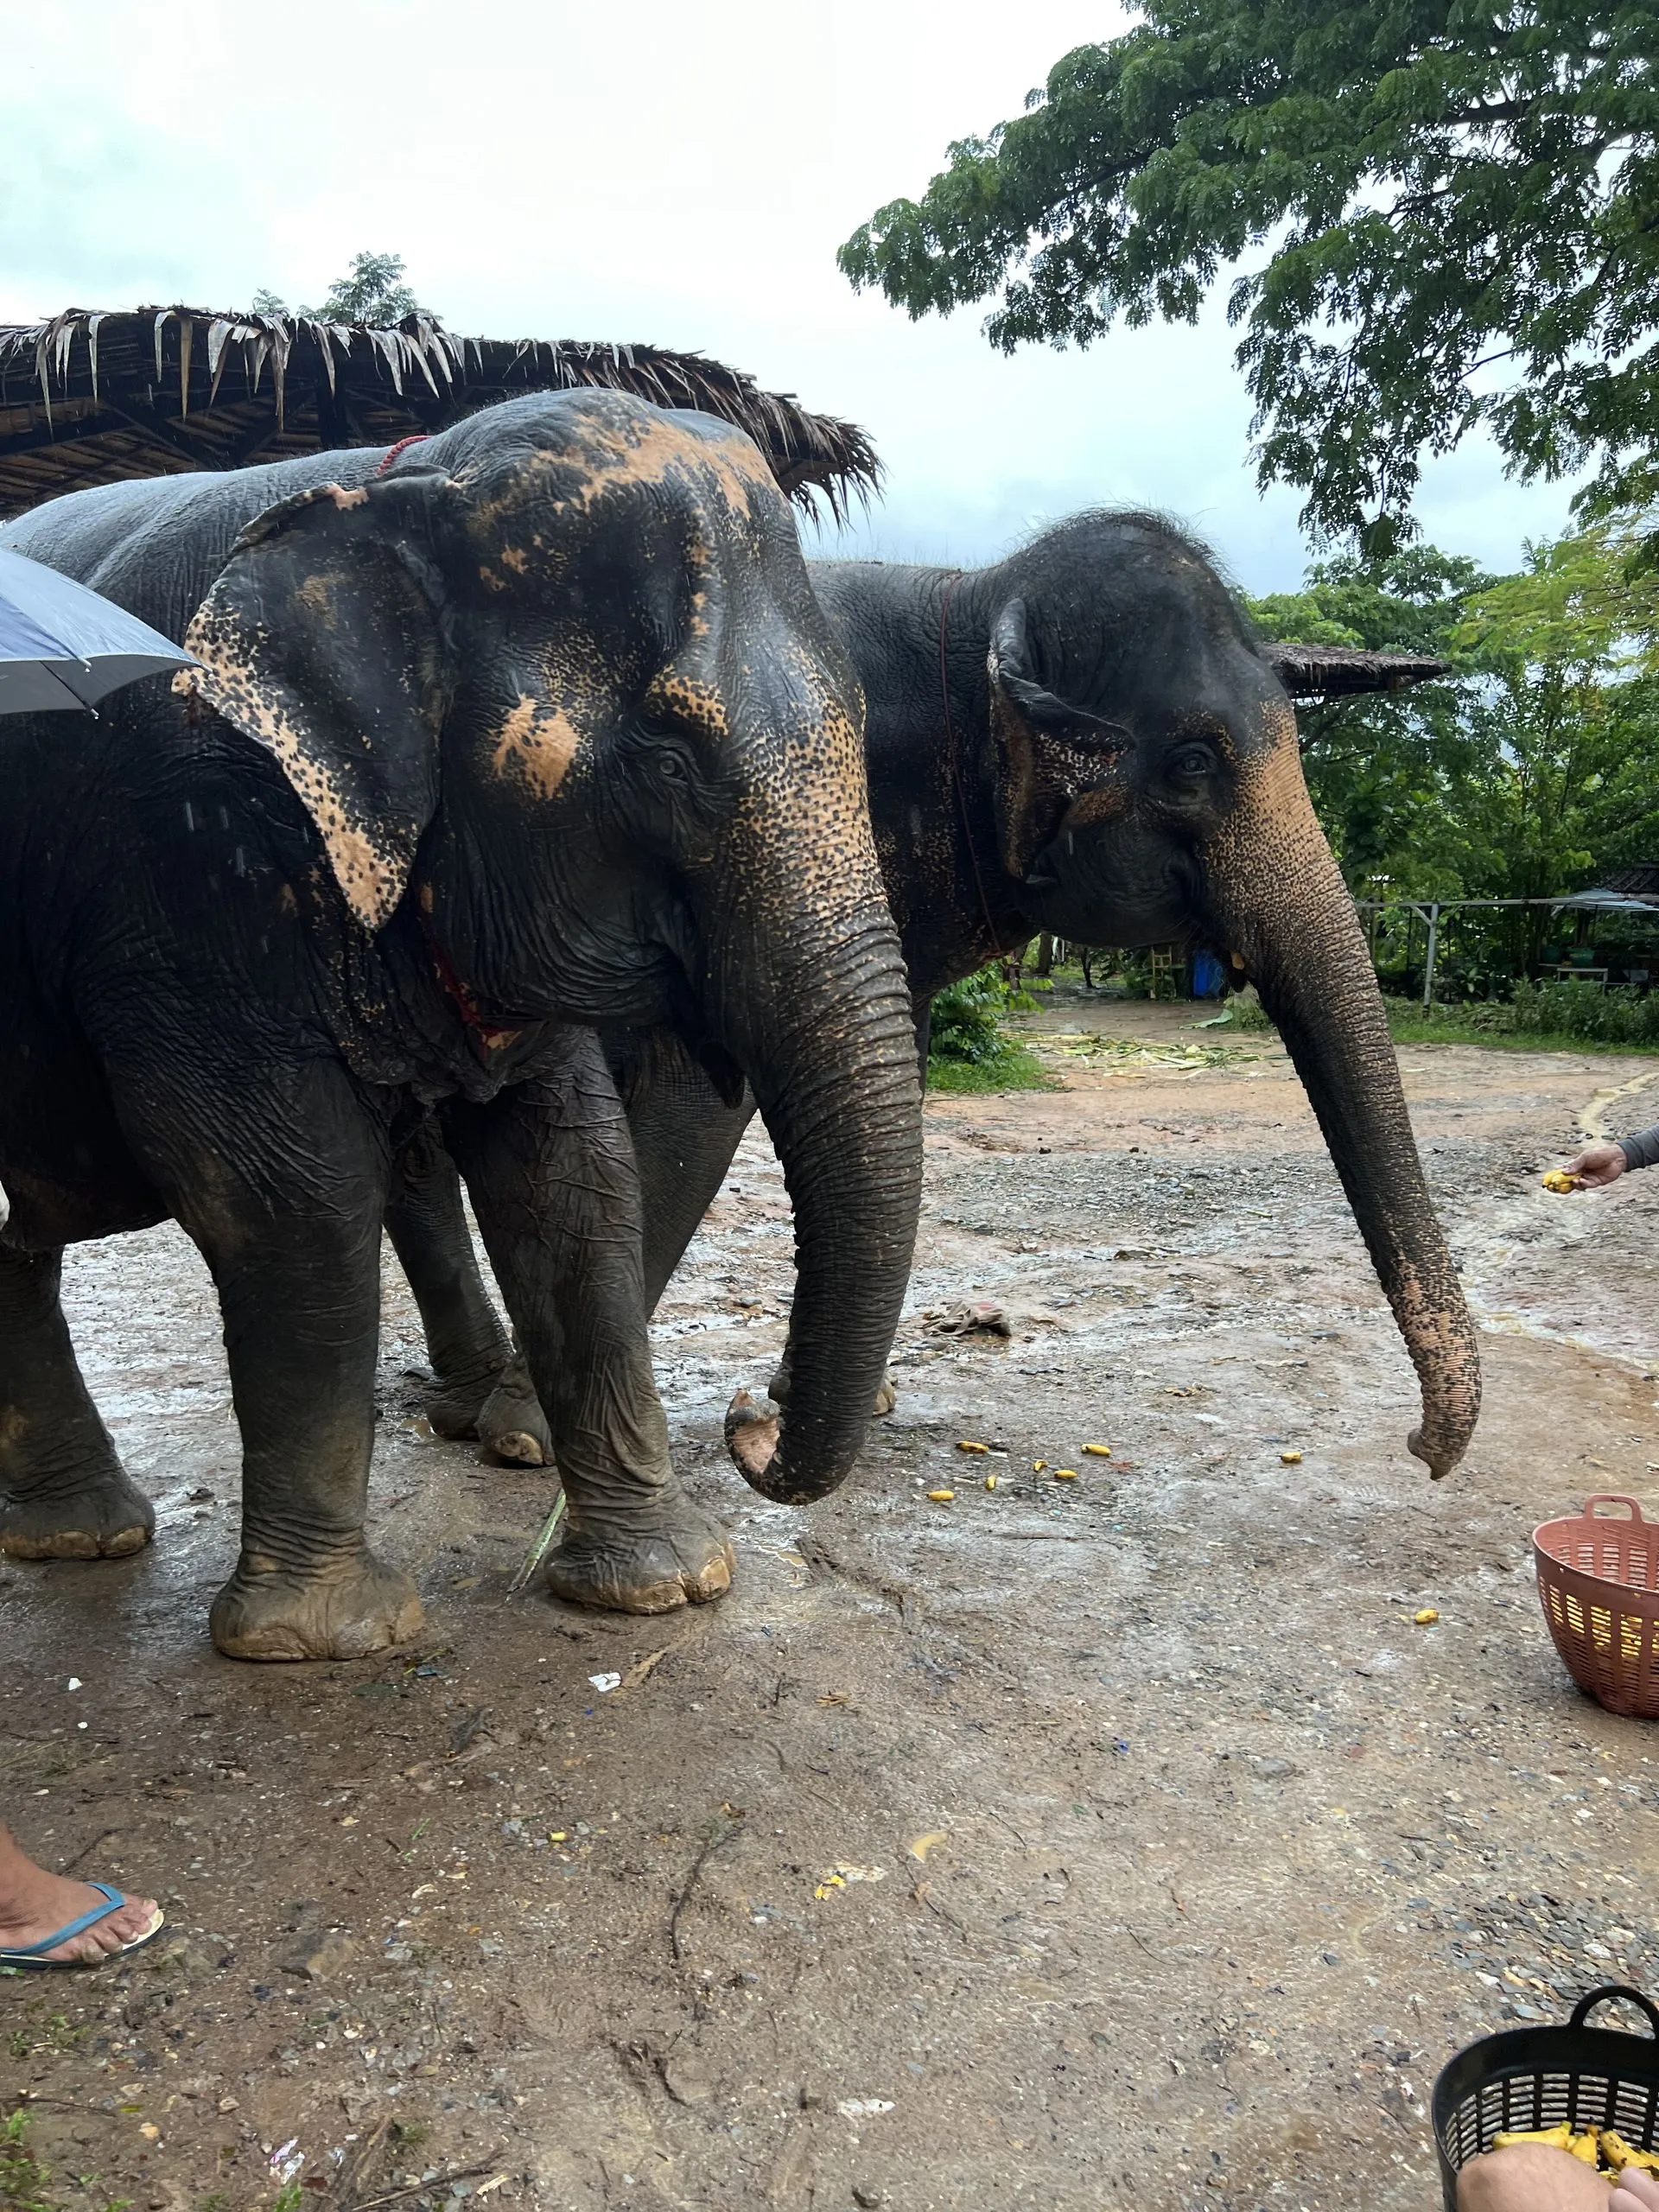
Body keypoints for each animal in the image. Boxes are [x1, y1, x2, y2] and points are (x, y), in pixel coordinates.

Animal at [0, 389, 924, 1657]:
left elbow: (573, 1169)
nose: (751, 1411)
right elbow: (286, 1188)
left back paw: (75, 1534)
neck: (417, 478)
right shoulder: (183, 872)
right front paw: (326, 1641)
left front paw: (662, 1585)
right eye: (669, 757)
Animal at [399, 507, 1480, 1493]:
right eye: (1193, 762)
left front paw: (831, 1402)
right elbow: (692, 1105)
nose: (1418, 1451)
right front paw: (529, 1443)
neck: (976, 597)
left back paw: (459, 1400)